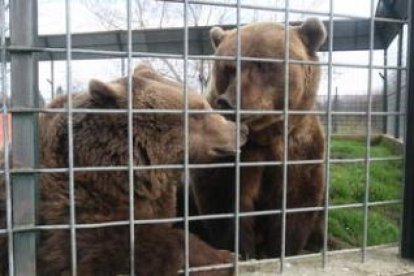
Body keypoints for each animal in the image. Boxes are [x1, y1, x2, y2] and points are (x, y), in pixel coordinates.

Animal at [0, 64, 249, 274]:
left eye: (202, 105)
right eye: (198, 111)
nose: (241, 129)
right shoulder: (74, 205)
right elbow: (105, 248)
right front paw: (224, 257)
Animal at [189, 18, 328, 258]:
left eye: (262, 64)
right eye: (228, 68)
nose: (228, 102)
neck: (263, 136)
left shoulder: (298, 148)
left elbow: (295, 201)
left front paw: (280, 249)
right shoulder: (226, 153)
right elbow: (226, 200)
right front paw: (243, 251)